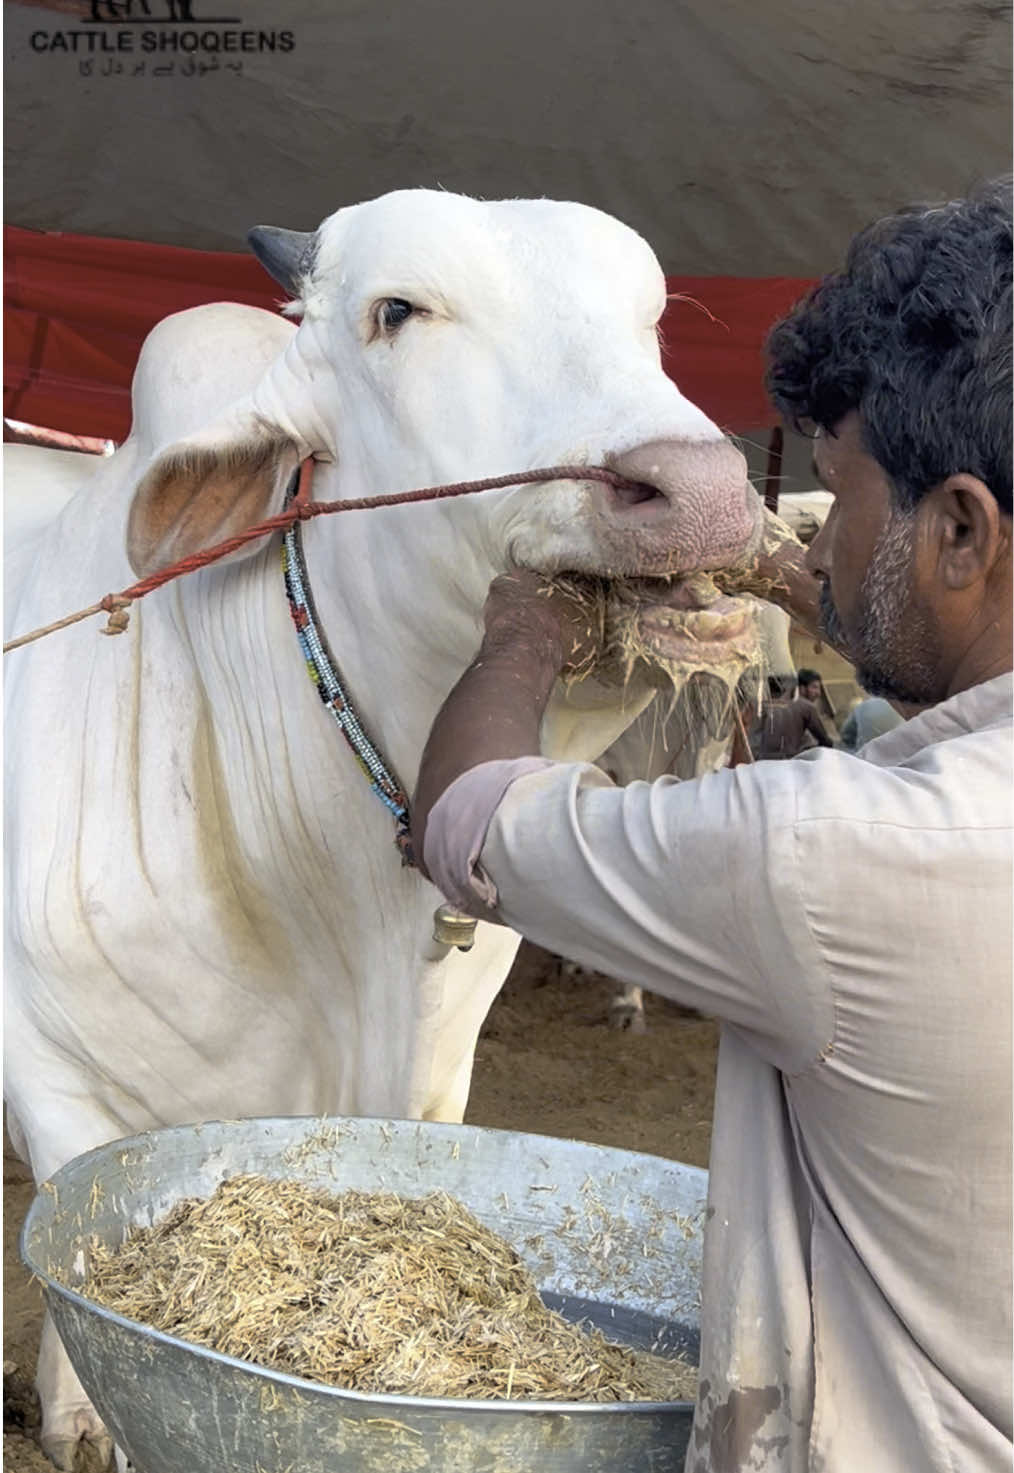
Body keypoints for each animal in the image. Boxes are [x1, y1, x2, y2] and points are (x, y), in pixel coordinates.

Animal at [5, 188, 768, 1467]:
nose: (698, 489)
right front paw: (73, 1415)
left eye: (651, 318)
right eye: (397, 312)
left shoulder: (433, 1084)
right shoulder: (52, 1075)